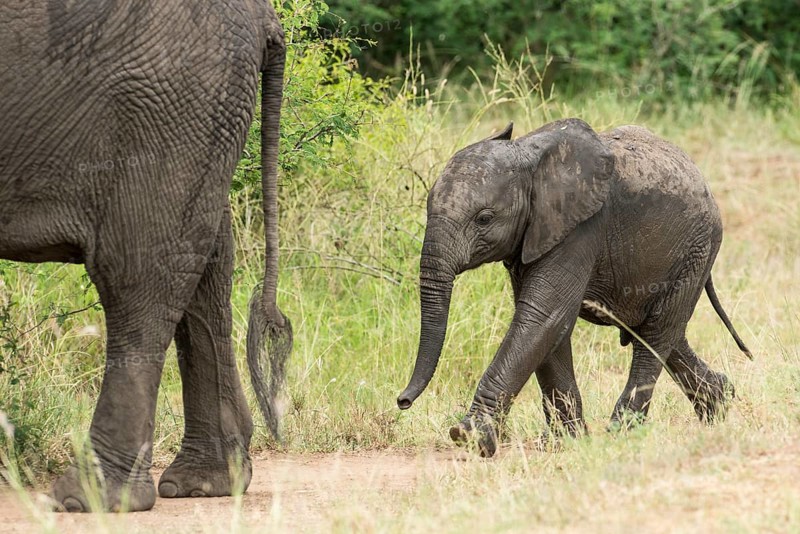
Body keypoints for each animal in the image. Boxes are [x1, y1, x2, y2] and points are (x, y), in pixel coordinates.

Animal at [0, 1, 291, 512]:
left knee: (138, 277)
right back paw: (204, 484)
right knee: (206, 265)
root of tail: (263, 17)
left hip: (168, 106)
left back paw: (89, 498)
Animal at [397, 119, 752, 457]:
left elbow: (543, 317)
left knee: (655, 334)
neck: (528, 158)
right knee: (658, 331)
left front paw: (469, 437)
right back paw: (719, 403)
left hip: (699, 247)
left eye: (484, 218)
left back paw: (621, 434)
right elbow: (549, 327)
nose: (403, 401)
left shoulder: (580, 228)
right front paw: (568, 442)